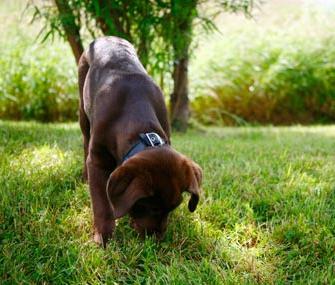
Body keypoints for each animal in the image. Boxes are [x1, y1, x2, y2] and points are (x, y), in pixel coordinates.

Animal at [78, 36, 203, 245]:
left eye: (173, 208)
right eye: (149, 206)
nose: (156, 240)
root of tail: (107, 37)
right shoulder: (97, 161)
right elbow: (101, 203)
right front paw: (103, 236)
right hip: (82, 107)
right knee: (85, 140)